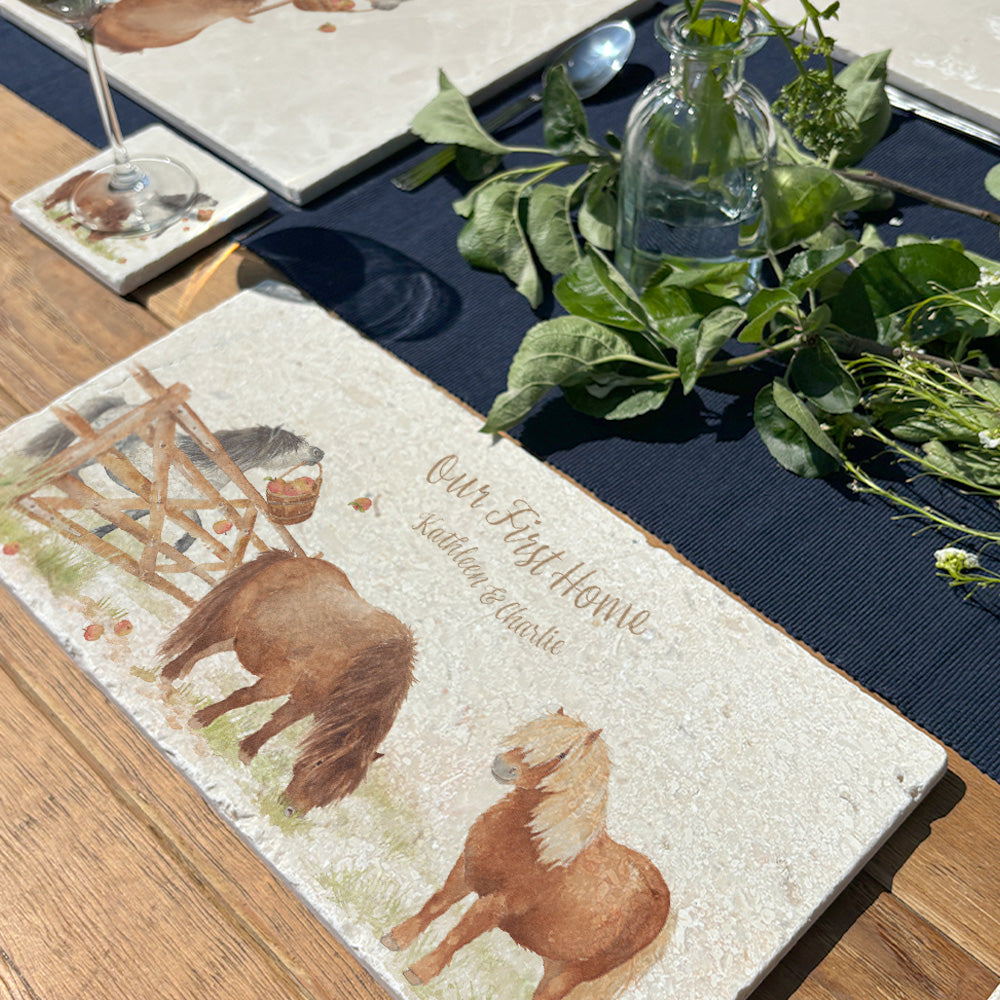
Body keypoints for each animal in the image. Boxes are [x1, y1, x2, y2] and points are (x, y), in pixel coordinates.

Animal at [159, 548, 414, 812]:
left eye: (339, 791)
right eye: (319, 763)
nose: (291, 811)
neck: (362, 662)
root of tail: (292, 557)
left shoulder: (306, 701)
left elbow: (279, 722)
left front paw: (247, 750)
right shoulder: (284, 679)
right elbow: (244, 697)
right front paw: (202, 719)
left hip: (239, 637)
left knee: (203, 651)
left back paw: (180, 672)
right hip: (232, 620)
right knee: (201, 642)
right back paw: (169, 674)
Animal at [382, 712, 672, 1000]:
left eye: (562, 754)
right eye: (530, 735)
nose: (502, 765)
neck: (539, 849)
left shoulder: (496, 905)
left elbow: (459, 935)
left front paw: (420, 972)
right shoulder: (465, 871)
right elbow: (436, 904)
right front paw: (396, 939)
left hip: (581, 970)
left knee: (554, 991)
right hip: (556, 961)